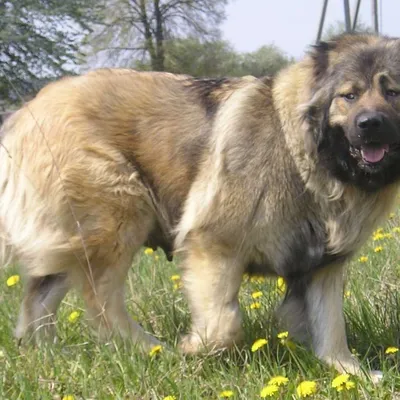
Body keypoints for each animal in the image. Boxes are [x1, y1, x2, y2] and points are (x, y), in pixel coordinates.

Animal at [0, 33, 400, 378]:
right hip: (120, 211)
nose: (370, 124)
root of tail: (24, 113)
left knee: (38, 299)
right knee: (102, 303)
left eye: (393, 92)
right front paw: (194, 348)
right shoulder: (214, 243)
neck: (304, 155)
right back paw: (151, 349)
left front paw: (353, 373)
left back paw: (48, 353)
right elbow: (224, 323)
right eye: (349, 95)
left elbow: (331, 326)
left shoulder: (324, 264)